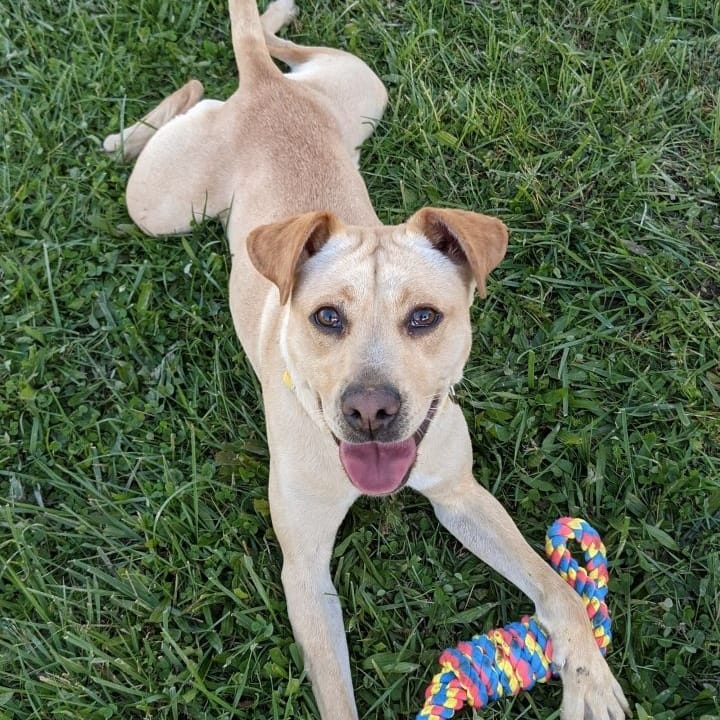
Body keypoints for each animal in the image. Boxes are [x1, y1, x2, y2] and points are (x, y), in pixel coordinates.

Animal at [104, 2, 628, 716]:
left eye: (424, 318)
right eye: (327, 317)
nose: (371, 410)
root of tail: (265, 90)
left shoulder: (460, 494)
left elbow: (558, 589)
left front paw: (589, 678)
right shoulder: (305, 573)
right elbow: (335, 692)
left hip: (364, 95)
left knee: (277, 52)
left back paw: (271, 21)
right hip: (162, 207)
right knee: (190, 100)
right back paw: (128, 134)